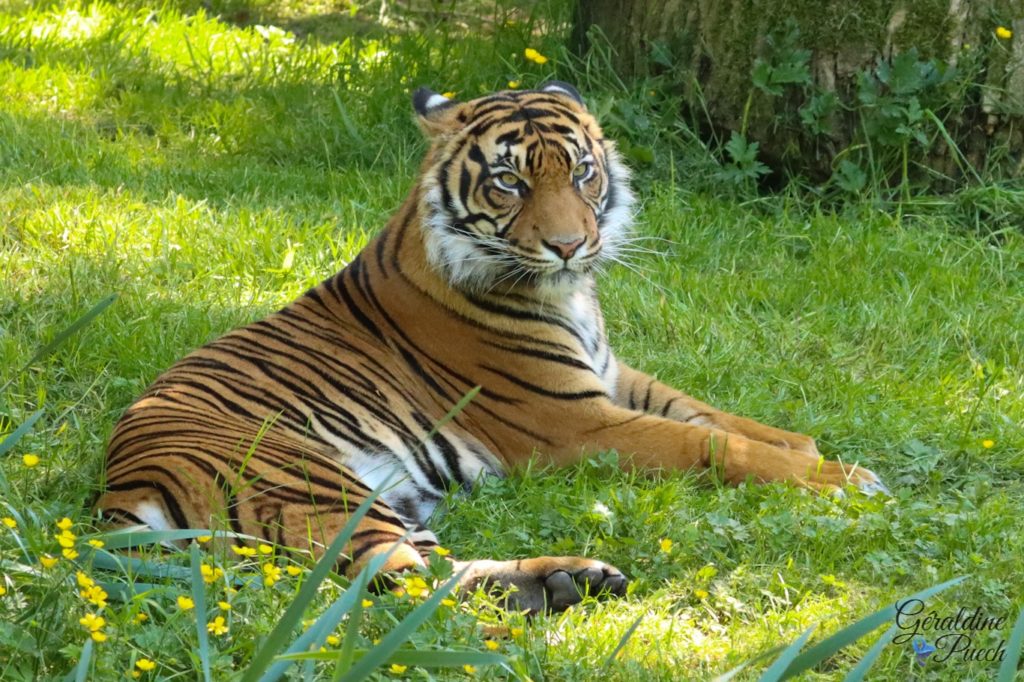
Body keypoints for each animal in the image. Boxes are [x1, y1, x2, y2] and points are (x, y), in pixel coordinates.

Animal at [97, 80, 888, 610]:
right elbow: (705, 442)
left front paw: (806, 448)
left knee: (434, 572)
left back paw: (569, 580)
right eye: (509, 182)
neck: (570, 297)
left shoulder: (610, 376)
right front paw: (844, 480)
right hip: (311, 481)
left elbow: (713, 414)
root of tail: (119, 491)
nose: (570, 245)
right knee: (403, 593)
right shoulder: (574, 422)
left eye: (582, 172)